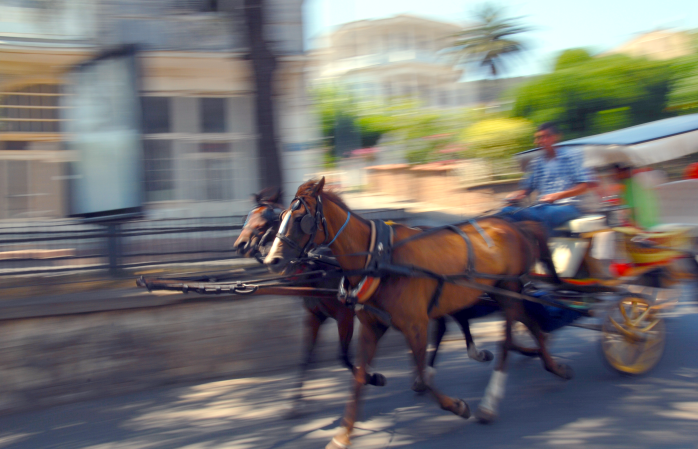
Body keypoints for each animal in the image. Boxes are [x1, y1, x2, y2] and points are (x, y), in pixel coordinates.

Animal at [264, 177, 568, 446]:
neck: (378, 257)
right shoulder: (371, 327)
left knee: (506, 338)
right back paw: (551, 364)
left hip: (508, 289)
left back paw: (490, 402)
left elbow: (421, 368)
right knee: (528, 321)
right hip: (501, 291)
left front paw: (456, 405)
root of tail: (515, 225)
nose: (272, 260)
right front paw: (343, 434)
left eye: (300, 218)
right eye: (281, 216)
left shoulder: (415, 324)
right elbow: (359, 377)